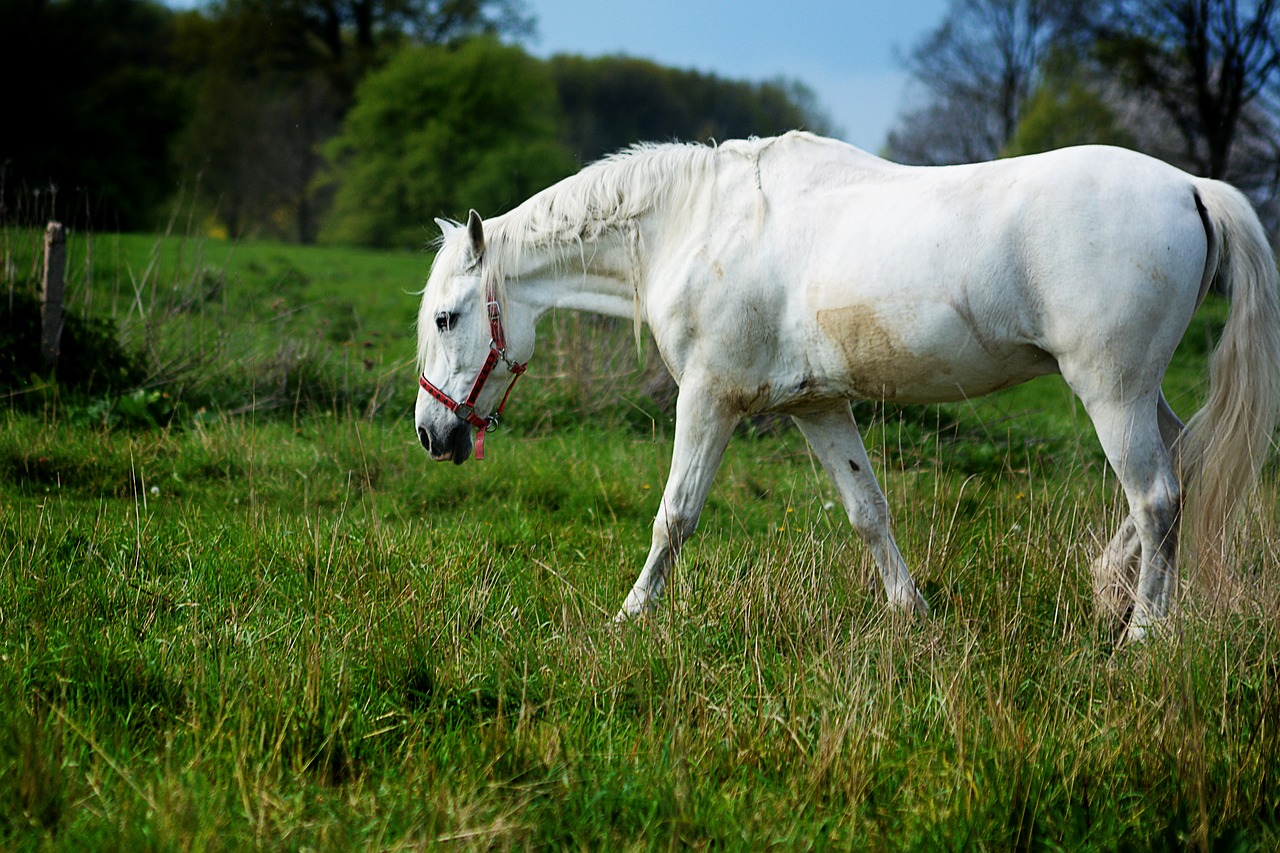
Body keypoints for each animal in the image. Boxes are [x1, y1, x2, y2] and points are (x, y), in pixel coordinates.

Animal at [412, 131, 1280, 637]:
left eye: (449, 318)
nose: (432, 432)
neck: (697, 222)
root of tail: (1191, 186)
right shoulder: (819, 406)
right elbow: (869, 511)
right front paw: (913, 614)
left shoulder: (710, 398)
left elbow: (675, 517)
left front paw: (629, 616)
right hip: (1136, 392)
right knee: (1187, 460)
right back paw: (1109, 589)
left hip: (1111, 390)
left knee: (1159, 495)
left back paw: (1142, 636)